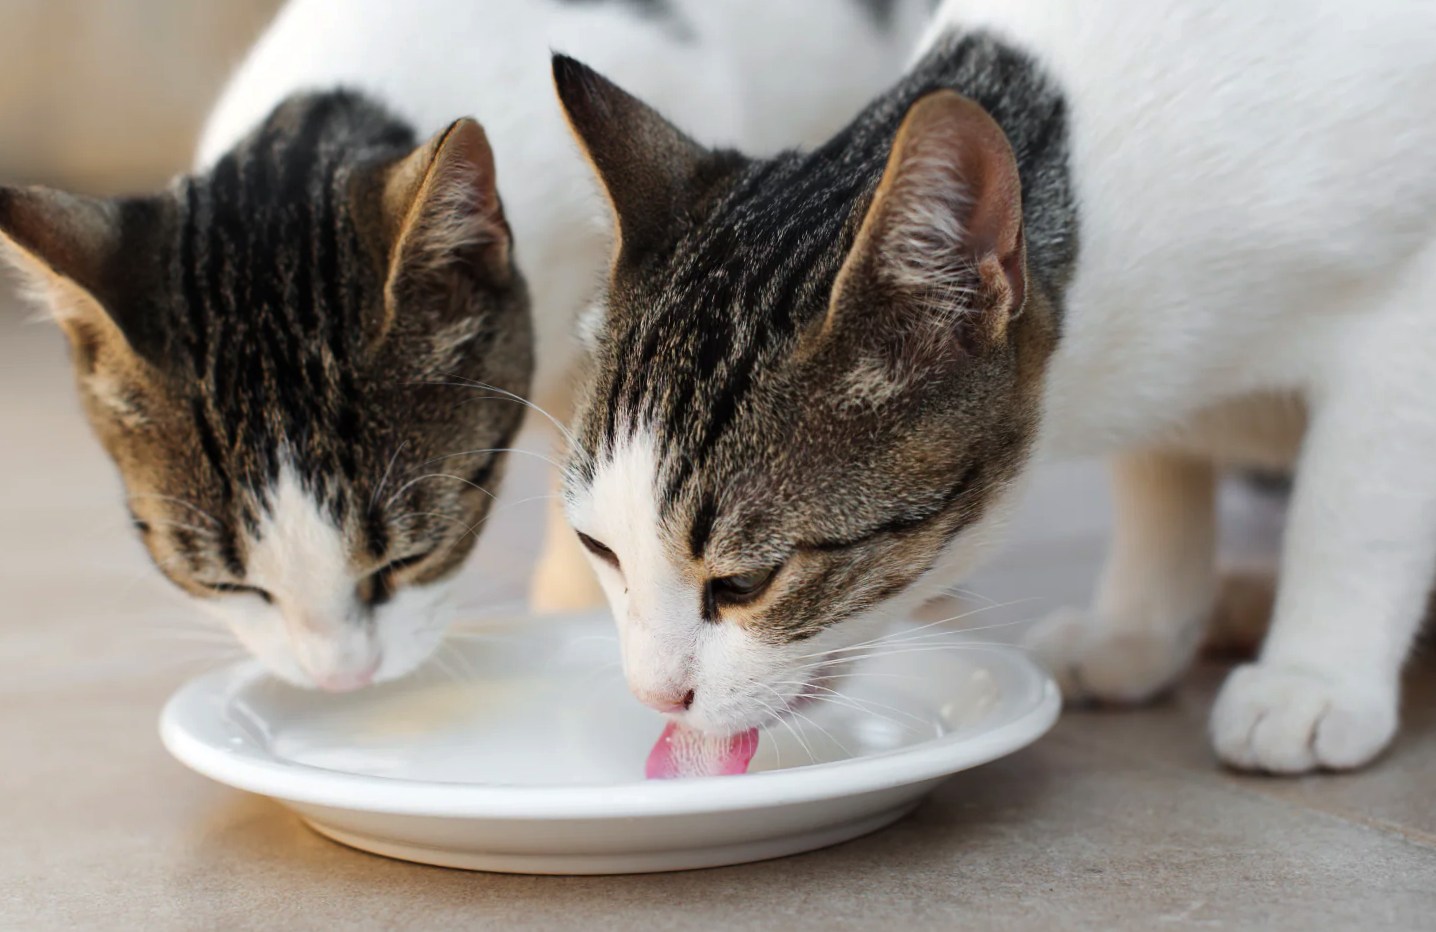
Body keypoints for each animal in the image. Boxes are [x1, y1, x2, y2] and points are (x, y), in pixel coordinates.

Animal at [554, 0, 1436, 775]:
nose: (654, 696)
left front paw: (1313, 679)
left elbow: (1353, 514)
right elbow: (1161, 477)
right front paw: (1138, 630)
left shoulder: (1405, 323)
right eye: (601, 549)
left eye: (746, 582)